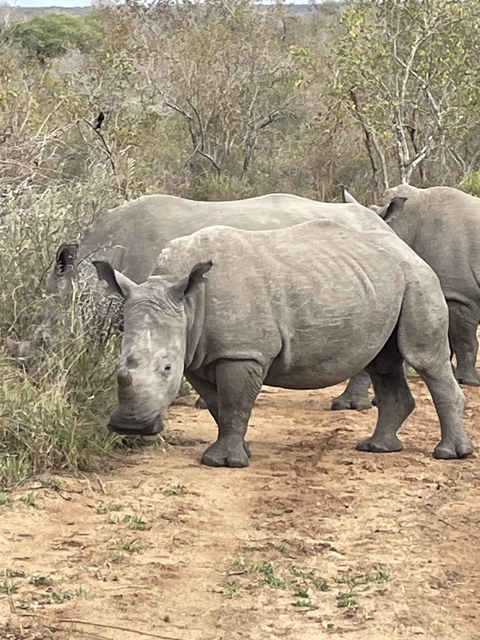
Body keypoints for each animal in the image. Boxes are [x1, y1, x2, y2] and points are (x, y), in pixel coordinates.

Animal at [93, 220, 473, 467]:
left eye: (167, 368)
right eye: (118, 364)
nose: (130, 426)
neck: (186, 302)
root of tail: (408, 249)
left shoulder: (241, 353)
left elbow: (234, 405)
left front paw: (224, 463)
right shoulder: (200, 353)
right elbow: (218, 405)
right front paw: (241, 450)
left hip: (419, 279)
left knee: (424, 358)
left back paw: (449, 455)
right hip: (383, 282)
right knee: (383, 363)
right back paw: (376, 448)